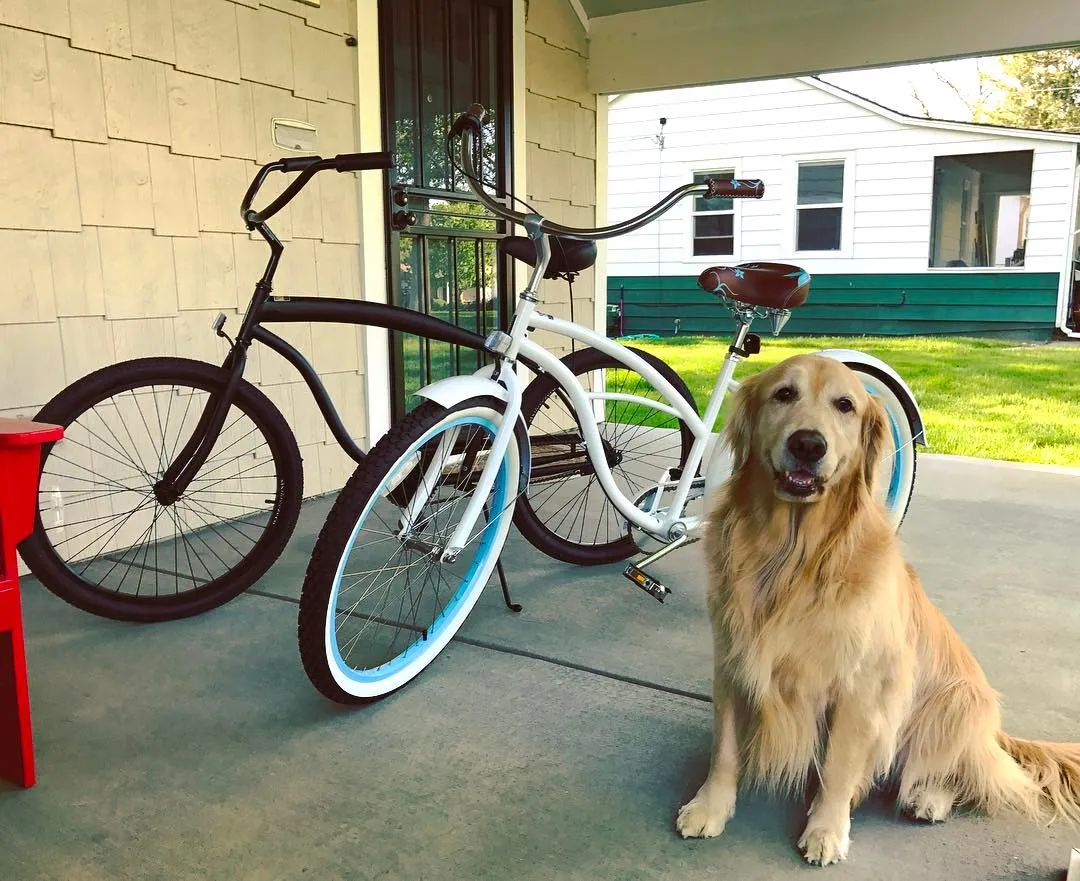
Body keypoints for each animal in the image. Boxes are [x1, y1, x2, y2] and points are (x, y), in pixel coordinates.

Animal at [673, 351, 1080, 868]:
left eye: (845, 405)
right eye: (783, 394)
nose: (808, 444)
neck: (791, 557)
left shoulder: (862, 687)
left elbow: (839, 765)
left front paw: (827, 829)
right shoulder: (731, 660)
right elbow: (724, 747)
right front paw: (710, 806)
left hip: (955, 700)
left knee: (966, 774)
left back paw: (928, 797)